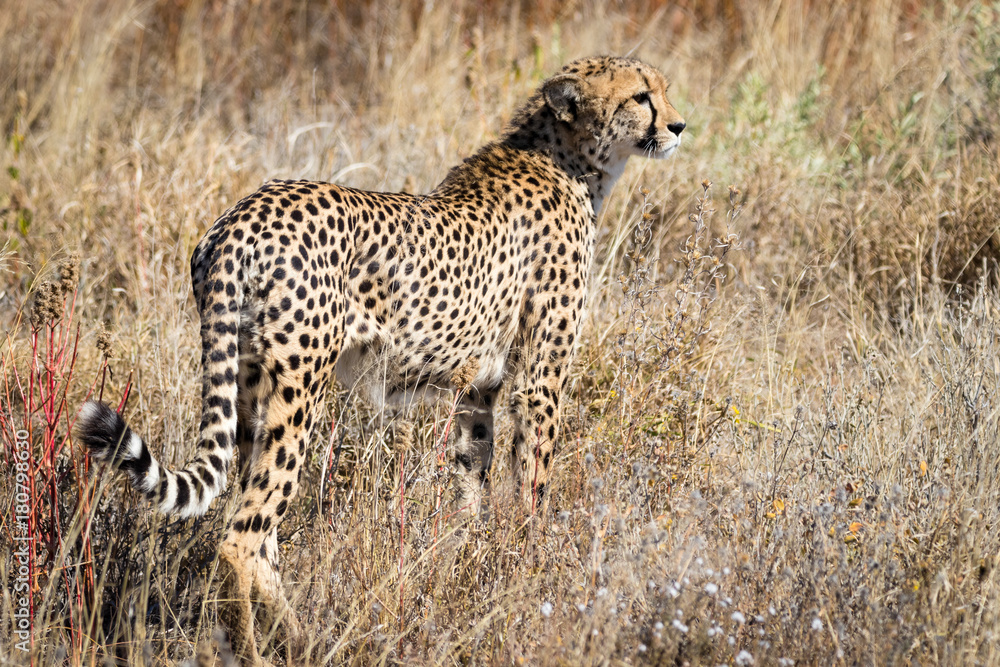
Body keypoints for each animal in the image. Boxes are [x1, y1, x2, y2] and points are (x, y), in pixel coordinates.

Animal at [76, 55, 685, 665]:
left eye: (662, 89)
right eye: (641, 96)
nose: (679, 127)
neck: (568, 160)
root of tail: (242, 216)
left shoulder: (477, 388)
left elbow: (473, 477)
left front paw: (474, 557)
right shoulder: (539, 381)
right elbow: (532, 483)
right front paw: (533, 564)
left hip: (248, 390)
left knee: (257, 524)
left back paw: (301, 637)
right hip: (299, 388)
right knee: (241, 537)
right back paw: (259, 650)